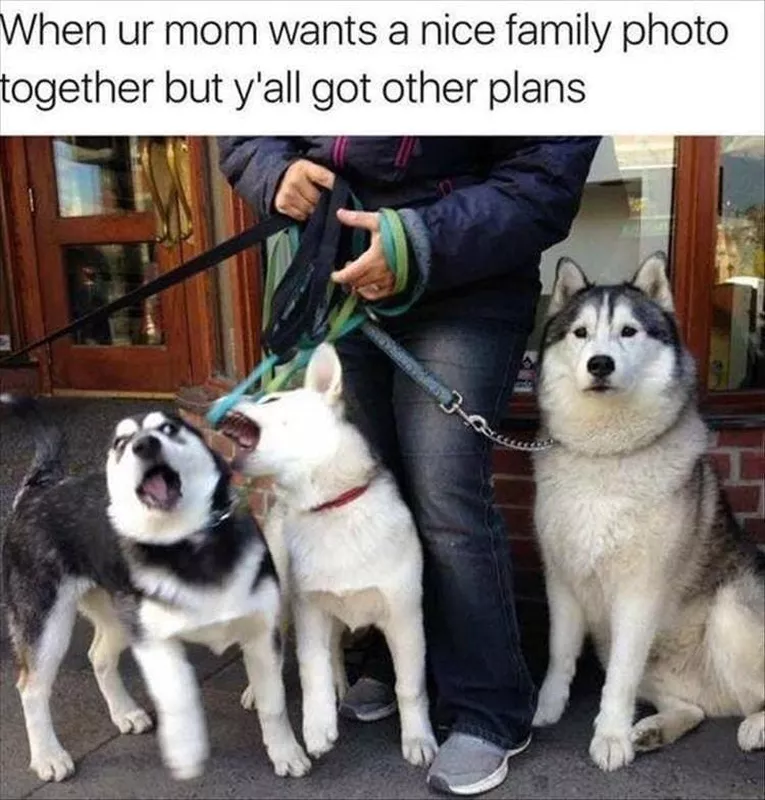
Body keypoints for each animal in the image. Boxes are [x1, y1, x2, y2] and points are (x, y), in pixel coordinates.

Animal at [2, 396, 310, 784]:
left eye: (168, 428)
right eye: (120, 443)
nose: (144, 445)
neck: (189, 546)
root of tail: (41, 486)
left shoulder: (261, 634)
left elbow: (274, 704)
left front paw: (286, 753)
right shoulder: (153, 641)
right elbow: (179, 695)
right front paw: (186, 749)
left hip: (117, 614)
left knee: (98, 655)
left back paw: (124, 712)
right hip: (47, 625)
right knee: (31, 689)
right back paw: (48, 756)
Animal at [218, 344, 438, 768]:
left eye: (271, 400)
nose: (225, 404)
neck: (331, 508)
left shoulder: (405, 618)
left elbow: (409, 687)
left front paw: (417, 736)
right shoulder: (310, 612)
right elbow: (310, 671)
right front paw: (317, 726)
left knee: (336, 648)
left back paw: (341, 683)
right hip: (282, 603)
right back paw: (257, 691)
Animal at [532, 255, 764, 768]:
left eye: (629, 330)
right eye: (580, 332)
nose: (600, 363)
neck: (606, 454)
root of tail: (722, 695)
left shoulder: (639, 592)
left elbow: (619, 678)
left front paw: (611, 737)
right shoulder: (562, 580)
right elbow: (559, 654)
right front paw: (546, 708)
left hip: (729, 612)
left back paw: (755, 725)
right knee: (694, 709)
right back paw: (656, 728)